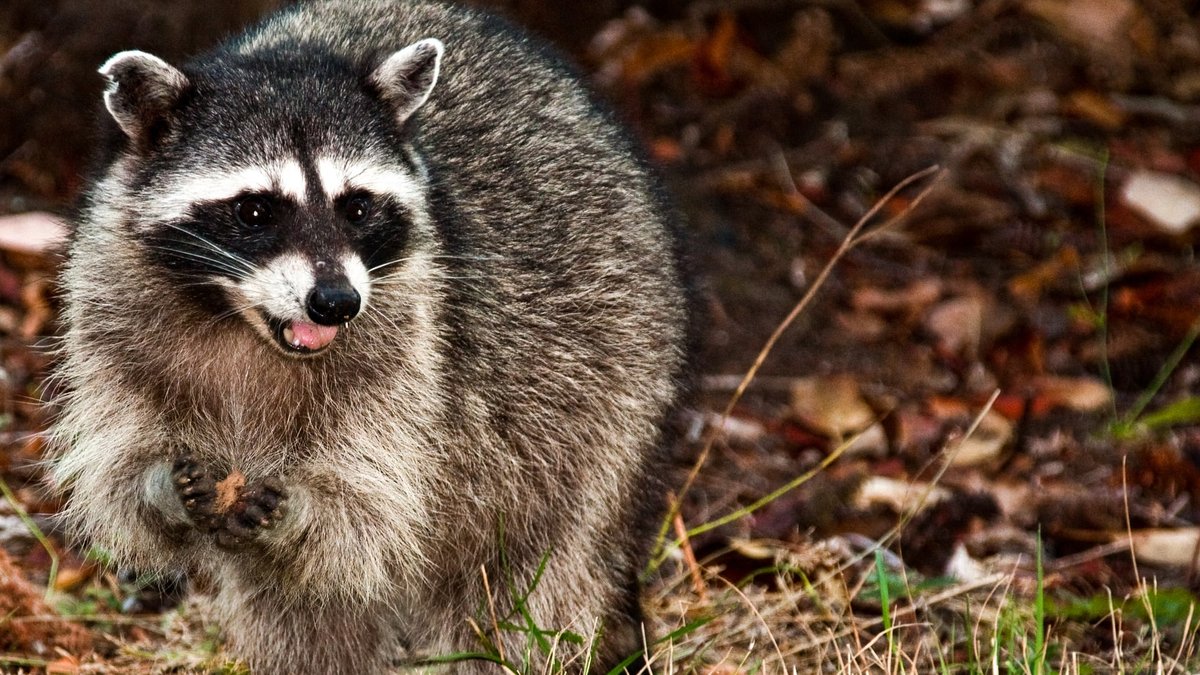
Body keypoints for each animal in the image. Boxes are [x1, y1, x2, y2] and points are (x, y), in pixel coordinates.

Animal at [48, 0, 690, 673]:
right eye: (256, 211)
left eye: (356, 207)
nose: (335, 303)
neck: (242, 325)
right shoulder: (109, 306)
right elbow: (117, 469)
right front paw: (157, 488)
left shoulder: (419, 348)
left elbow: (375, 498)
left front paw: (305, 510)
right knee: (302, 617)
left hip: (606, 403)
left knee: (524, 588)